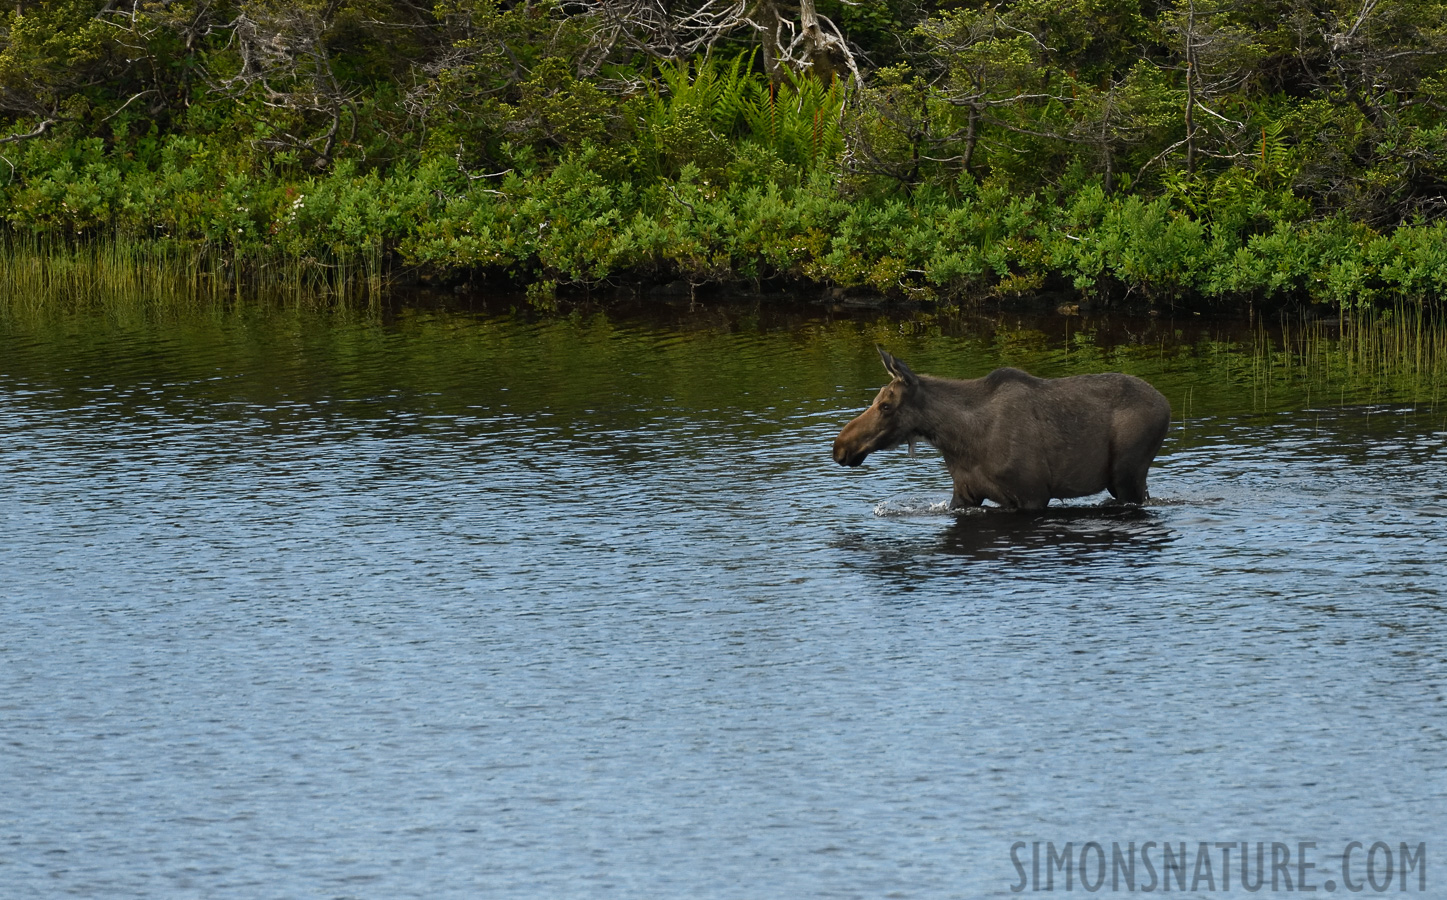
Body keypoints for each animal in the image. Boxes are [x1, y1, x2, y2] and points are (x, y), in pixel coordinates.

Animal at [833, 348, 1169, 512]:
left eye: (886, 406)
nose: (840, 446)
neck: (960, 441)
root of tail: (1166, 404)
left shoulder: (1033, 494)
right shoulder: (964, 494)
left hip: (1127, 473)